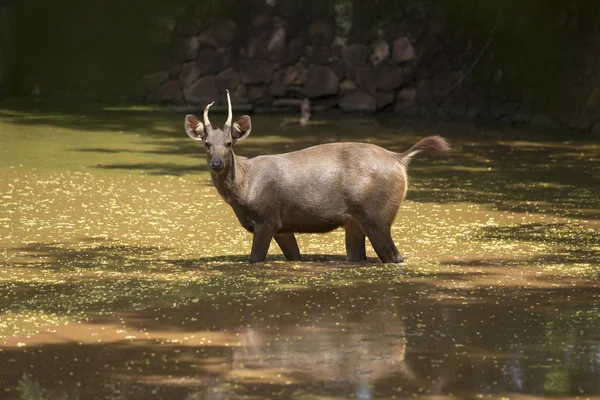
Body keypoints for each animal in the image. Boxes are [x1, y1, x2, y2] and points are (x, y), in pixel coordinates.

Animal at [185, 91, 448, 266]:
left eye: (229, 143)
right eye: (206, 144)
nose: (217, 164)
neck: (244, 189)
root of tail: (399, 159)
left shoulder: (266, 219)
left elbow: (255, 260)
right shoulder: (282, 226)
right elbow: (295, 257)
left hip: (377, 214)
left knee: (395, 256)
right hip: (355, 221)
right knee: (357, 257)